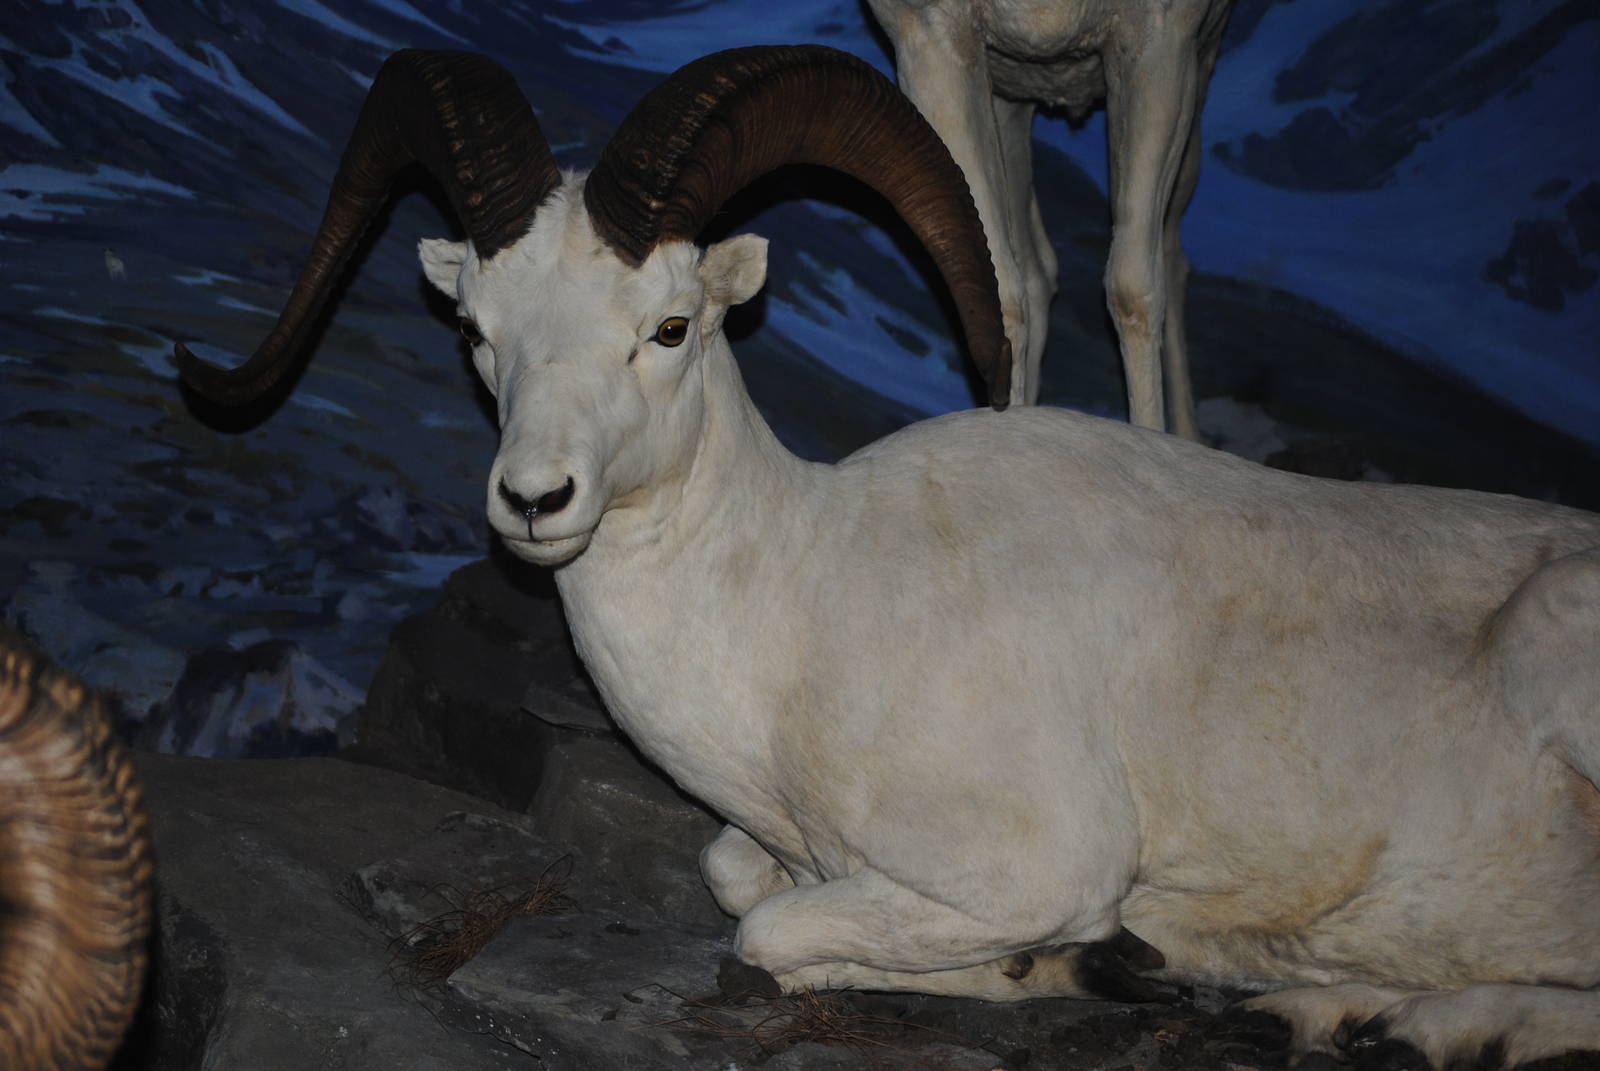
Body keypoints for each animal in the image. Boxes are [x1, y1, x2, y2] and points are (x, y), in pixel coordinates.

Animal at [176, 47, 1600, 1068]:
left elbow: (767, 929)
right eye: (476, 328)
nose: (535, 500)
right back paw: (1337, 1010)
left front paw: (1090, 961)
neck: (803, 611)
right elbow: (735, 876)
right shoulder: (774, 841)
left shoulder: (1036, 864)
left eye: (671, 327)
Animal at [866, 0, 1234, 436]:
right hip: (1009, 107)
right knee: (1035, 274)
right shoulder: (930, 43)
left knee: (1170, 261)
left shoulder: (1161, 43)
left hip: (1191, 91)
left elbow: (1133, 291)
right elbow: (1001, 298)